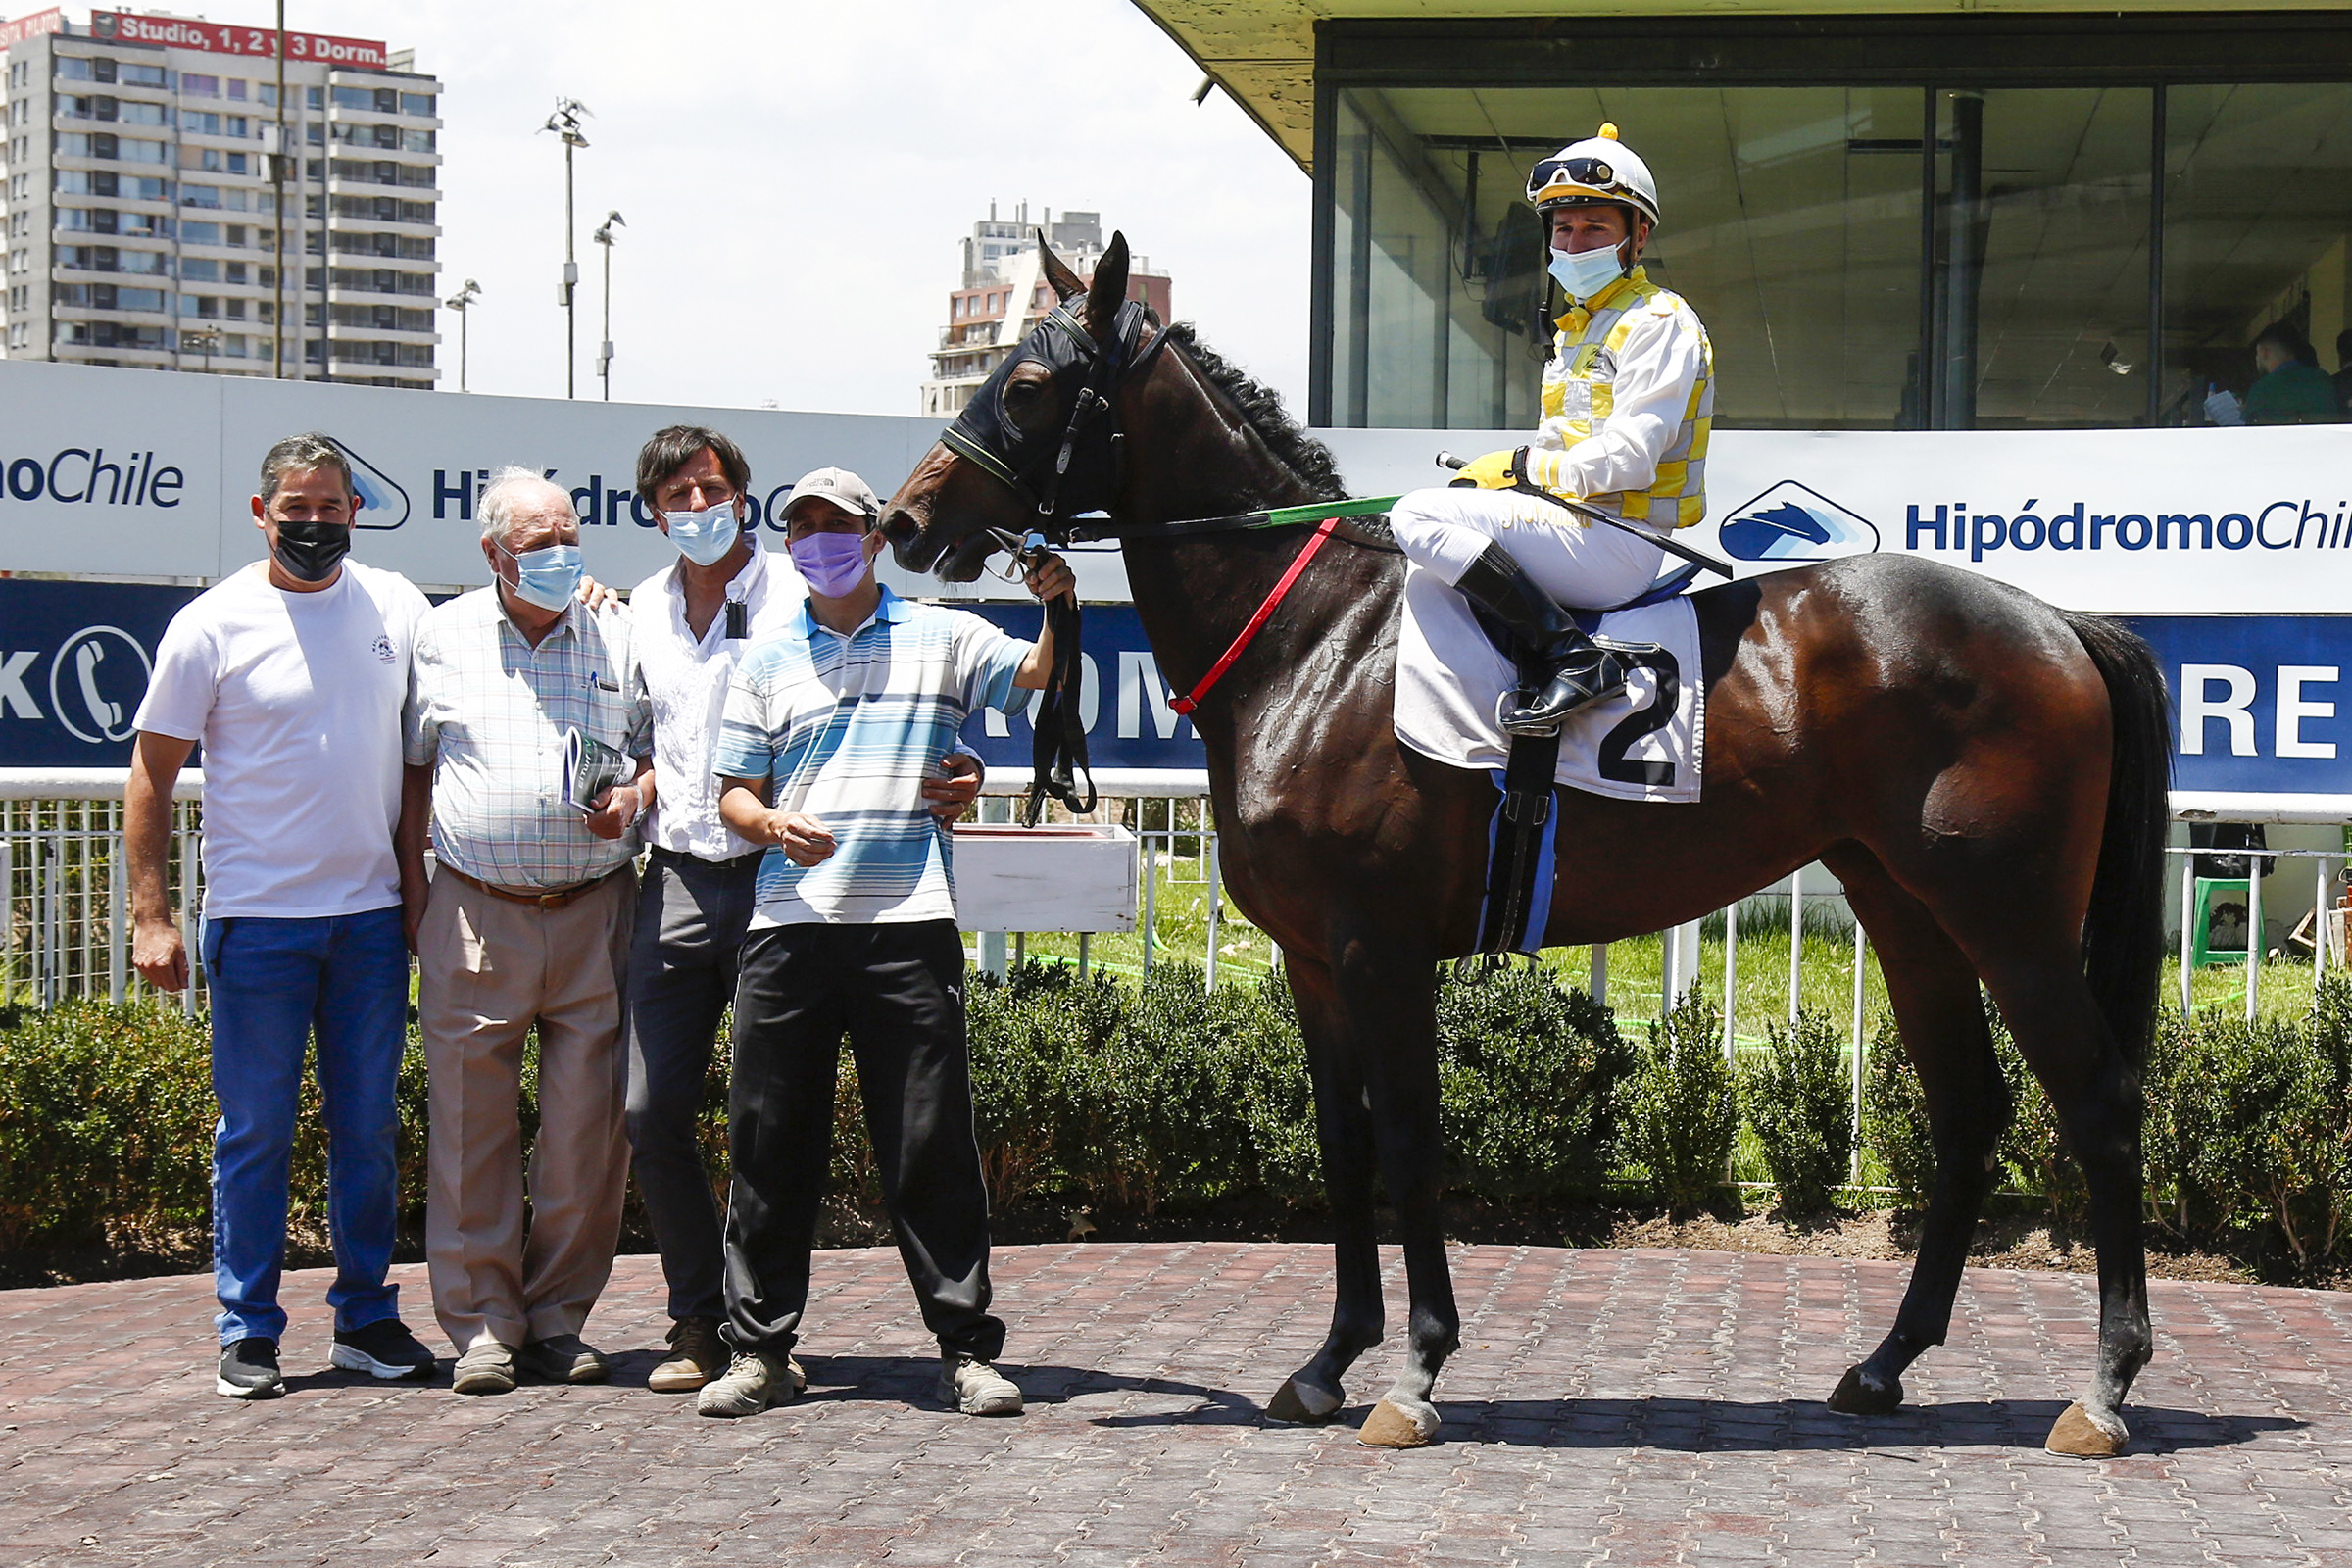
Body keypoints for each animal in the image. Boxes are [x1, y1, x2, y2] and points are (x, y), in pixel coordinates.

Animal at [882, 234, 2171, 1459]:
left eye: (1030, 383)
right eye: (993, 367)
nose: (906, 519)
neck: (1314, 640)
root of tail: (2062, 621)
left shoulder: (1381, 946)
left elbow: (1409, 1138)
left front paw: (1415, 1371)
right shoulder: (1311, 958)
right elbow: (1343, 1144)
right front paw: (1327, 1362)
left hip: (2013, 919)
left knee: (2102, 1100)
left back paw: (2105, 1389)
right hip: (1907, 910)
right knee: (1969, 1110)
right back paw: (1885, 1363)